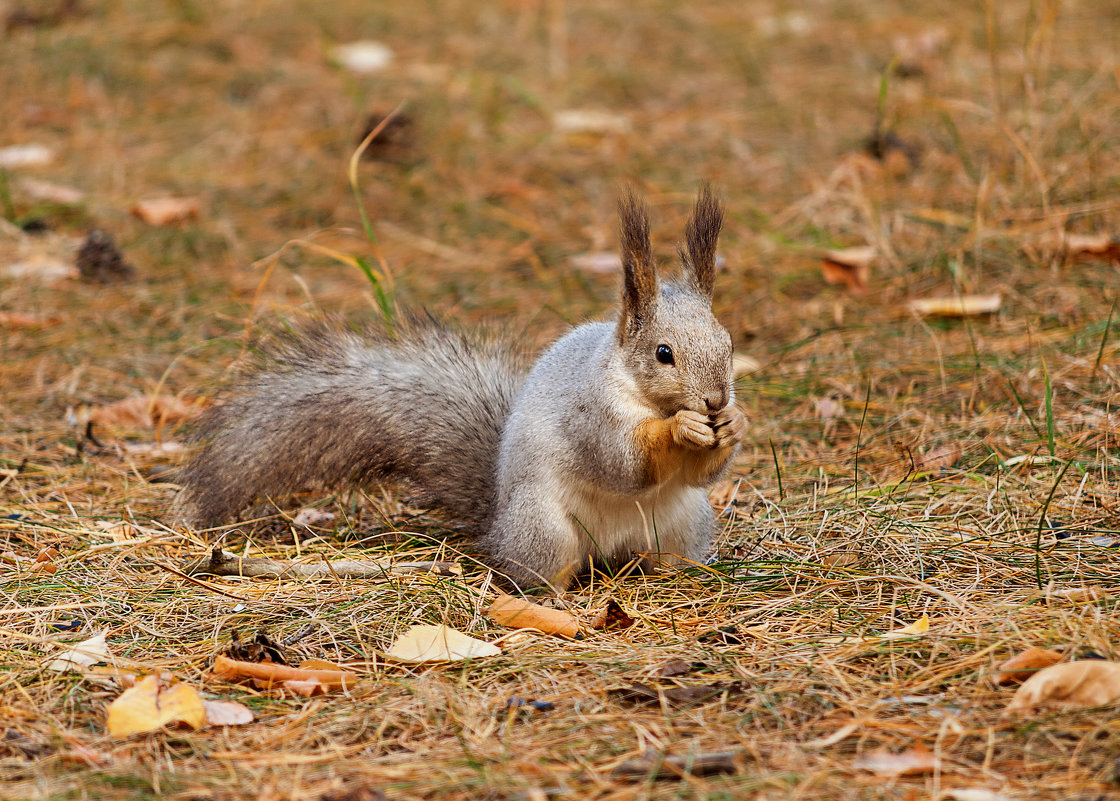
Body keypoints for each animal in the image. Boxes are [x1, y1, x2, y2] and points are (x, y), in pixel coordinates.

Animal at [174, 188, 748, 587]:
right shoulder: (591, 414)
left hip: (685, 523)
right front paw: (682, 428)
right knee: (537, 573)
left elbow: (701, 472)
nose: (716, 399)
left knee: (665, 554)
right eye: (663, 353)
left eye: (728, 342)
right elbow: (624, 462)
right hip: (545, 529)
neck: (641, 392)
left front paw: (733, 424)